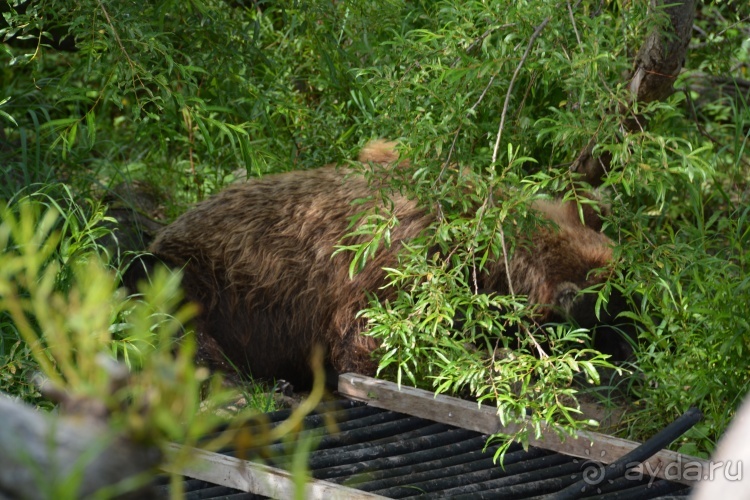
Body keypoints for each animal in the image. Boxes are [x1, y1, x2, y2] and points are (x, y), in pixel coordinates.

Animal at [147, 140, 636, 386]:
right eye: (616, 319)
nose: (633, 352)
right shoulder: (392, 269)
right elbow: (376, 345)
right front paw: (500, 357)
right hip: (195, 276)